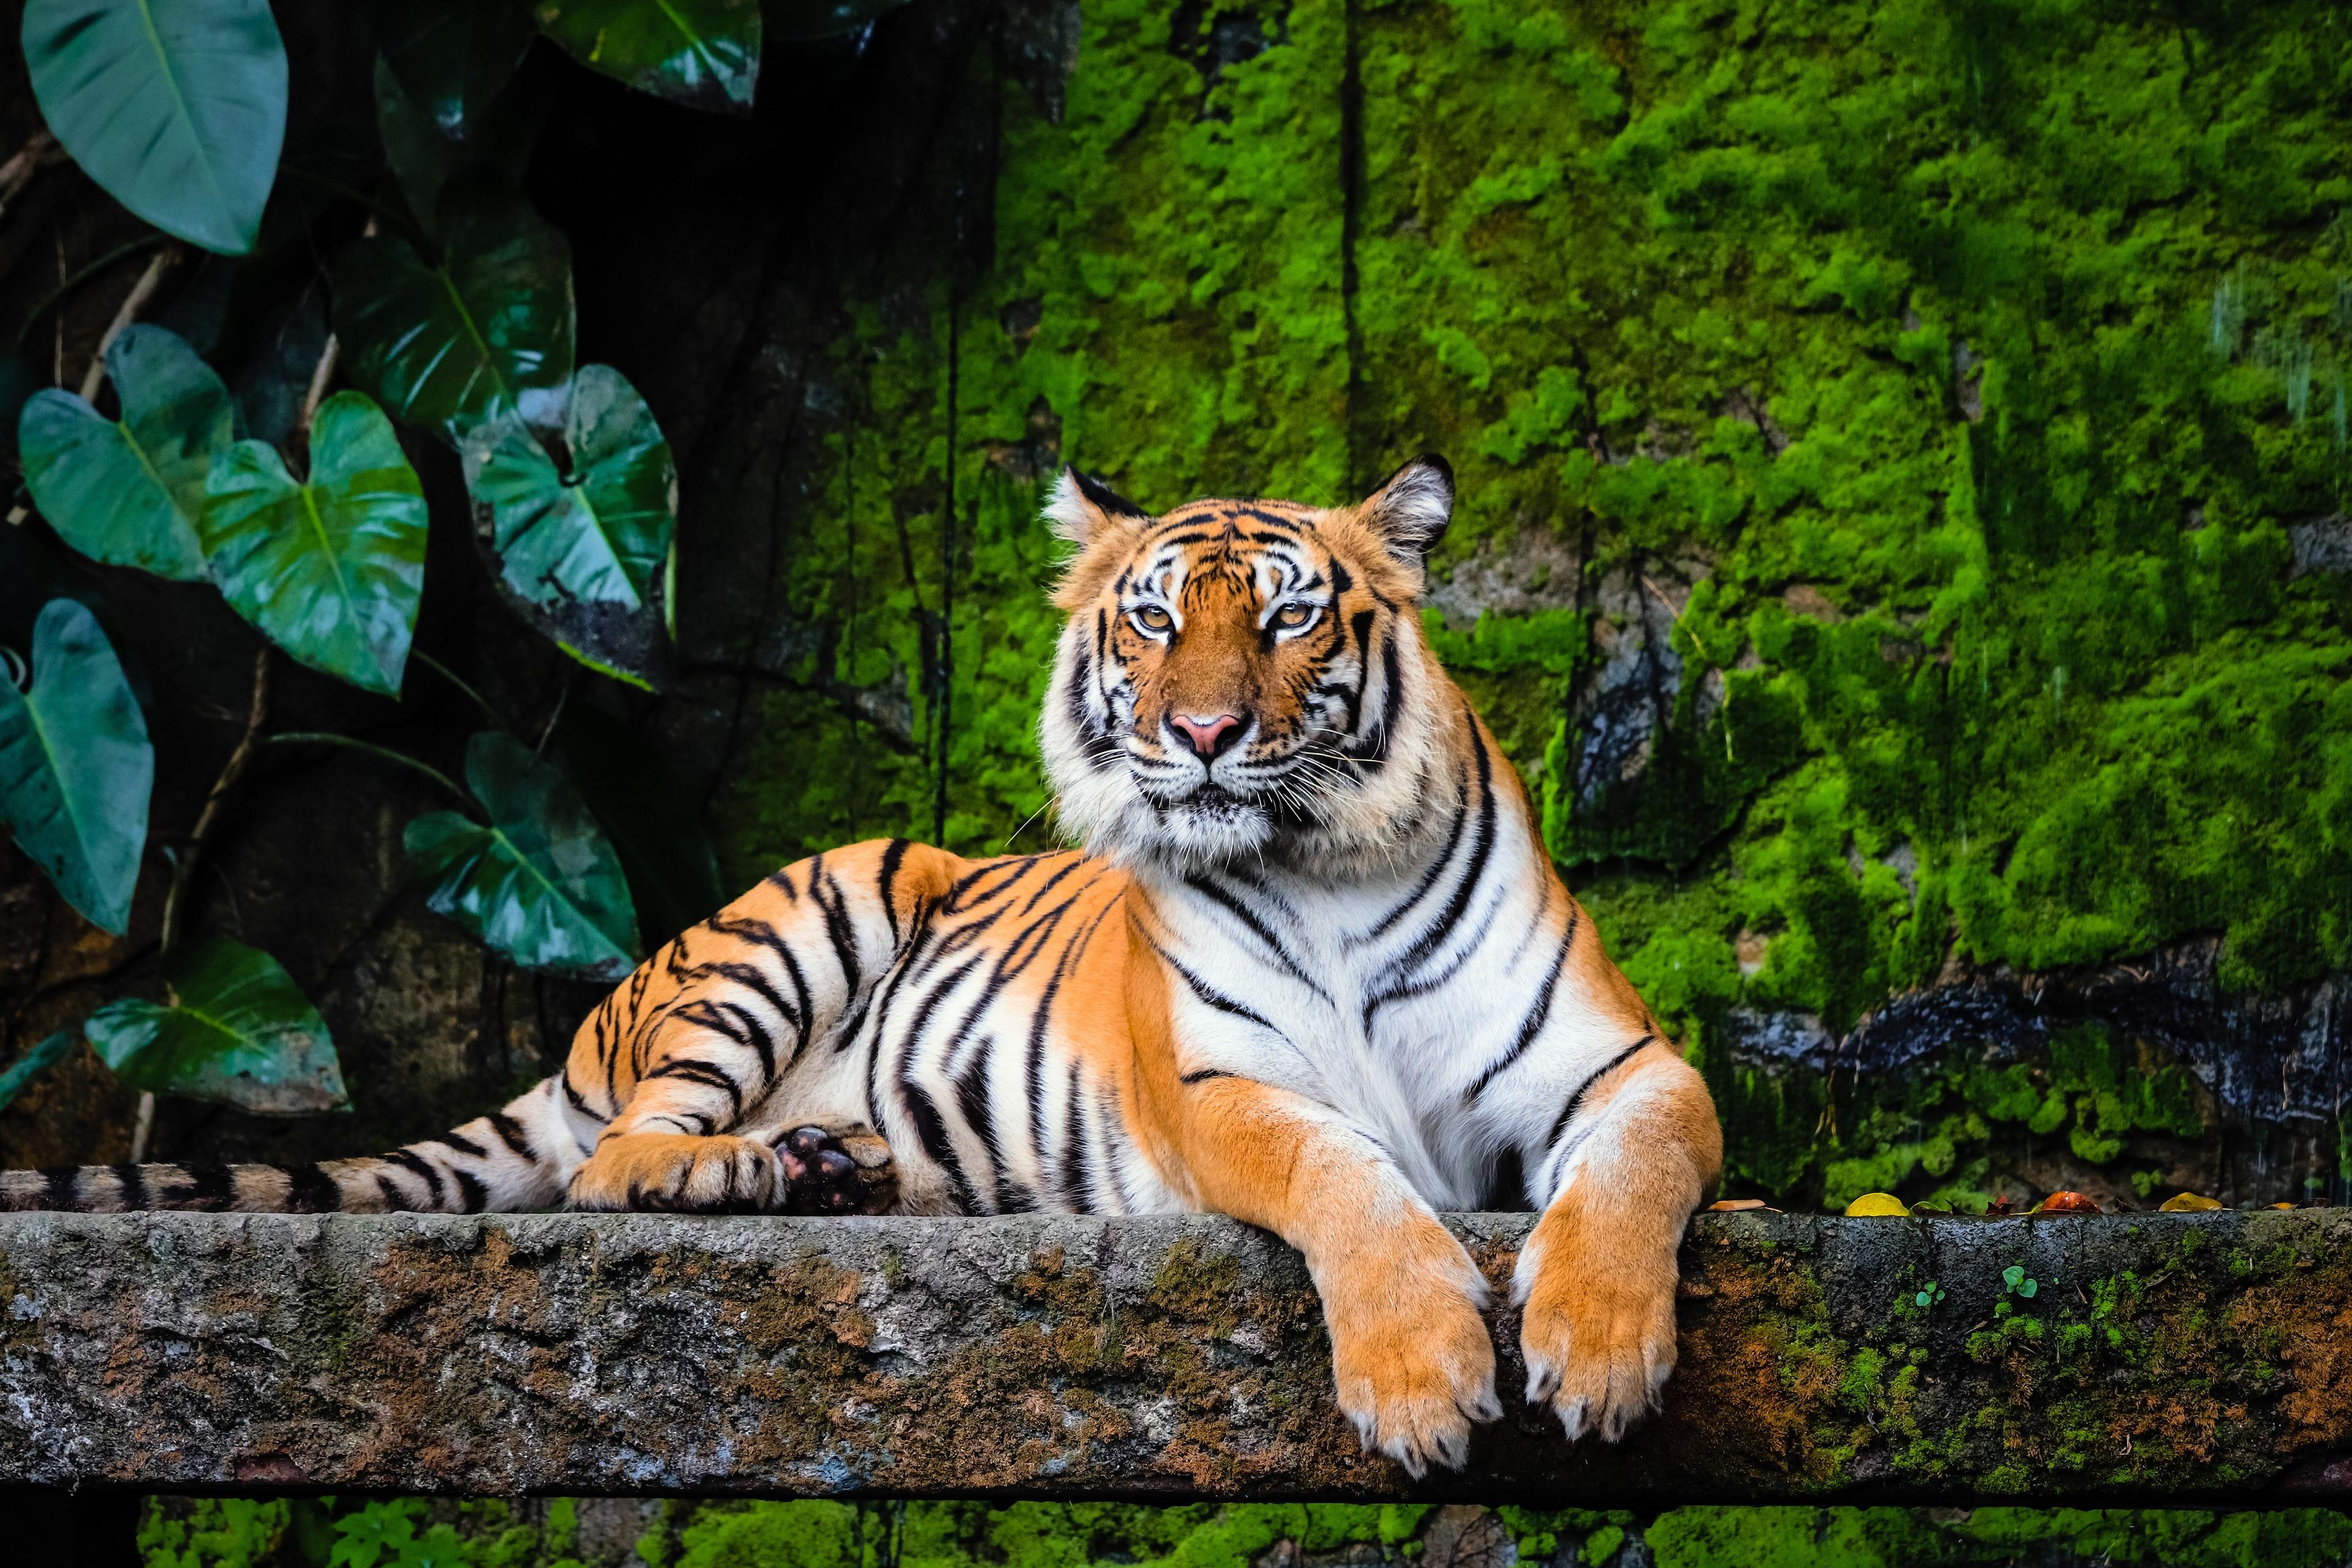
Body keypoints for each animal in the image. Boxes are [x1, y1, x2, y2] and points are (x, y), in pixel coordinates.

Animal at [4, 461, 1731, 1476]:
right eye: (1152, 619)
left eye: (1294, 616)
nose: (1202, 731)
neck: (1321, 864)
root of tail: (596, 1019)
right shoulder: (1218, 1087)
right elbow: (1348, 1181)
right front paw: (1427, 1380)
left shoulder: (1622, 1063)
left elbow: (1634, 1170)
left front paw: (1596, 1354)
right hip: (804, 915)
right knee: (619, 1159)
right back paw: (758, 1168)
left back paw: (843, 1162)